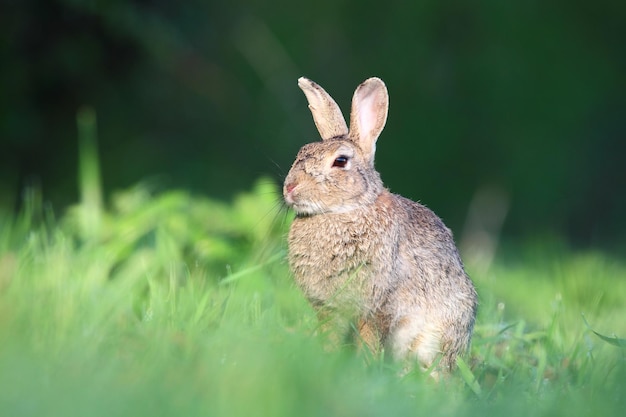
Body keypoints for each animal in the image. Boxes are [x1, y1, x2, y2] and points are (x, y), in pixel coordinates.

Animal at [282, 76, 478, 372]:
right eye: (301, 152)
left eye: (340, 161)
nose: (290, 187)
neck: (343, 211)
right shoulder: (329, 309)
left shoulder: (378, 307)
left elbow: (369, 341)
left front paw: (364, 370)